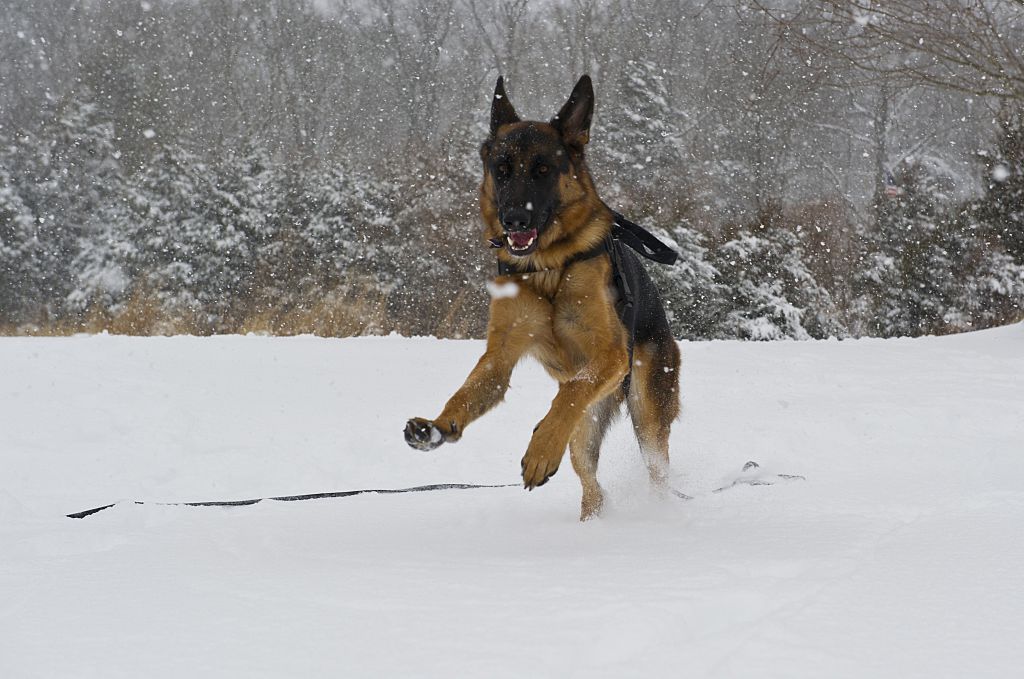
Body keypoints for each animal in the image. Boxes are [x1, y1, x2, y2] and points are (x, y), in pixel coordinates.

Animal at [401, 75, 679, 520]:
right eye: (502, 170)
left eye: (543, 170)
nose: (515, 219)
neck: (548, 265)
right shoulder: (499, 357)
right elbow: (467, 392)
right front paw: (440, 427)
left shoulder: (610, 354)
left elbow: (568, 394)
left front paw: (540, 449)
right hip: (585, 434)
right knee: (593, 487)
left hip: (648, 414)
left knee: (654, 468)